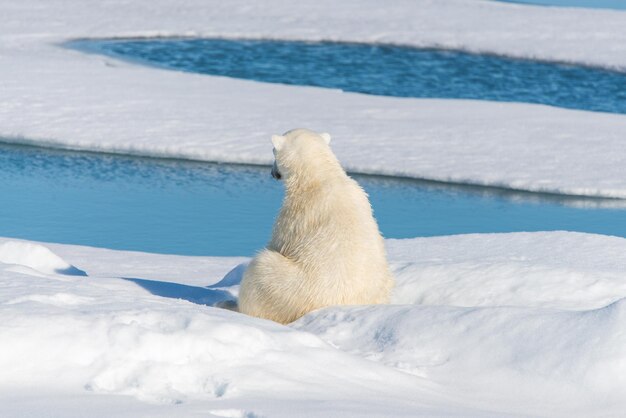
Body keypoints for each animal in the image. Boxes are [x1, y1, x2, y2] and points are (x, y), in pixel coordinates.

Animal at [236, 129, 392, 324]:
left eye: (272, 150)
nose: (272, 172)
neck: (321, 175)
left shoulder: (295, 213)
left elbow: (278, 242)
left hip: (288, 291)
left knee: (259, 268)